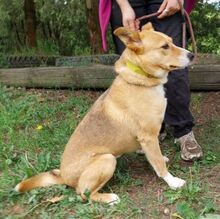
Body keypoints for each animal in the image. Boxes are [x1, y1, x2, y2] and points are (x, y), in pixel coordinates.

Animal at [15, 23, 194, 204]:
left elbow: (155, 157)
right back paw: (109, 198)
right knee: (83, 194)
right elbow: (159, 165)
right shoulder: (148, 137)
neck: (140, 80)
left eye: (171, 41)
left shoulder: (148, 139)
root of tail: (63, 176)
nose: (192, 55)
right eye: (164, 46)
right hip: (107, 159)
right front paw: (172, 181)